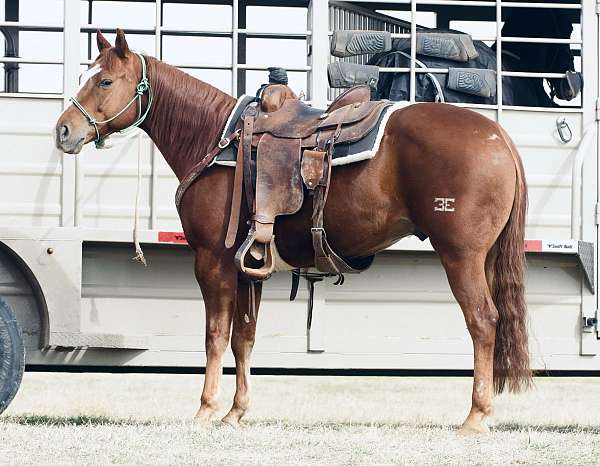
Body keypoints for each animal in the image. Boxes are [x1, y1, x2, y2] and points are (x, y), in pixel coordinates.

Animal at [52, 31, 528, 436]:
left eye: (105, 81)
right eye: (85, 77)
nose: (63, 131)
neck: (218, 139)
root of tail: (498, 136)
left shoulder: (212, 259)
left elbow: (214, 335)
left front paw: (205, 409)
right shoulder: (249, 265)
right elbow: (243, 337)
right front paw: (235, 412)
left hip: (461, 256)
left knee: (483, 321)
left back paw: (476, 416)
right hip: (483, 258)